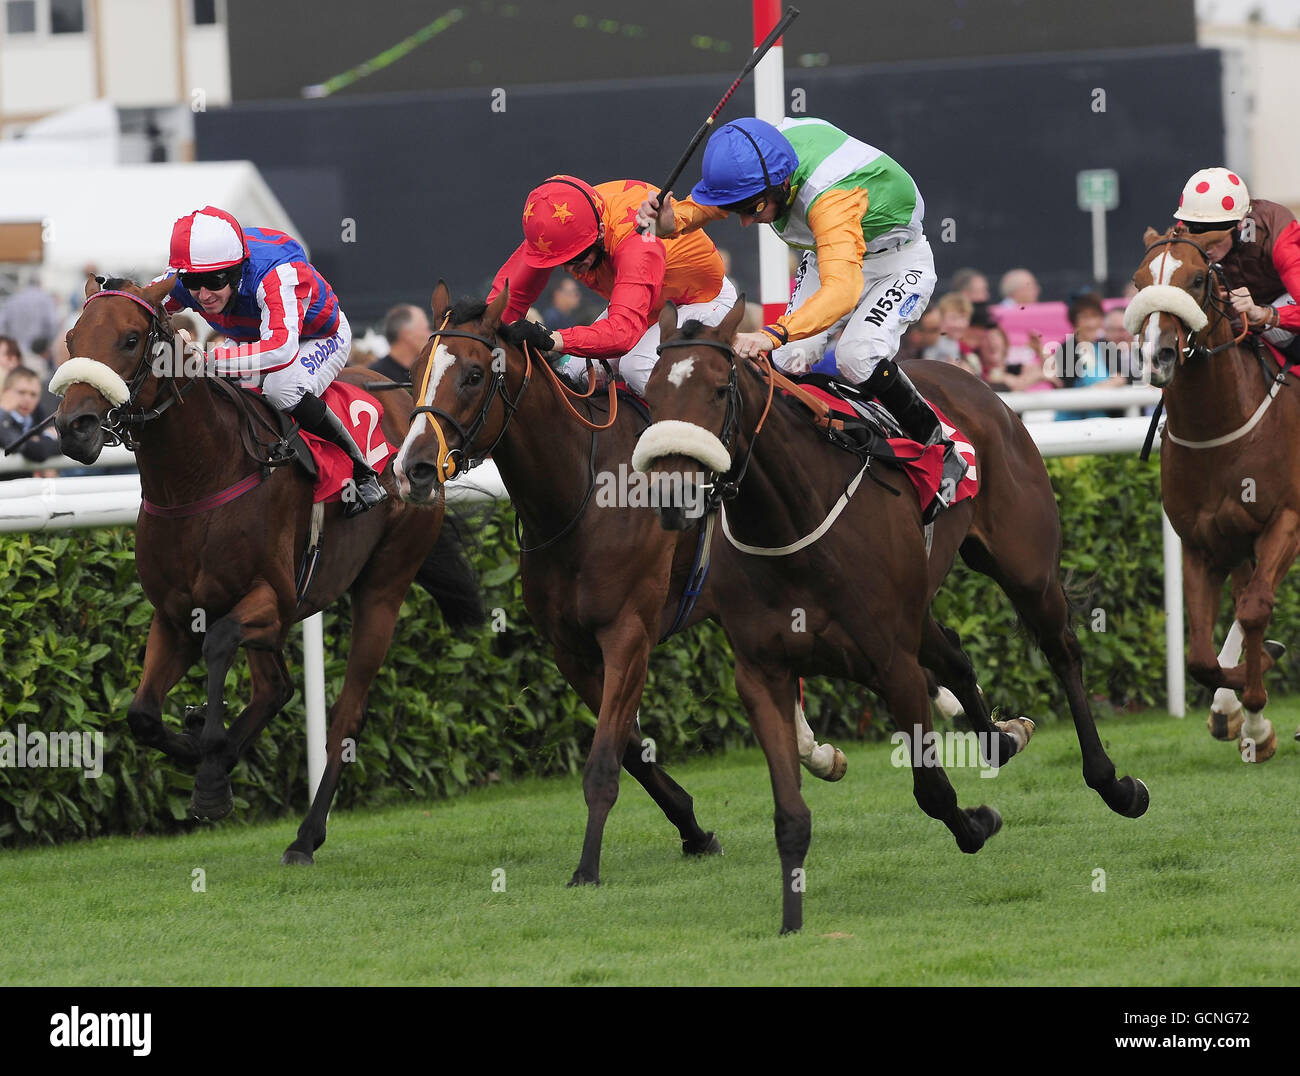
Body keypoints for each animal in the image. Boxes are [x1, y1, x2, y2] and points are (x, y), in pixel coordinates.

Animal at [53, 272, 486, 862]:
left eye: (129, 339)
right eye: (72, 338)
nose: (74, 427)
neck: (198, 477)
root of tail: (414, 413)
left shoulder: (272, 598)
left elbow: (219, 644)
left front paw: (211, 766)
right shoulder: (174, 614)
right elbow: (142, 715)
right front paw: (199, 747)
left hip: (384, 585)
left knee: (346, 712)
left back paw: (305, 835)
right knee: (275, 687)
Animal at [384, 281, 852, 888]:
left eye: (472, 374)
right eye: (414, 370)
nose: (412, 469)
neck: (581, 495)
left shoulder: (628, 633)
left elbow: (606, 757)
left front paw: (587, 867)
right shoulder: (571, 648)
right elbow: (631, 751)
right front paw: (694, 831)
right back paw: (814, 750)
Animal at [634, 296, 1154, 935]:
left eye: (715, 390)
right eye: (652, 394)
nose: (671, 495)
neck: (790, 520)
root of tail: (974, 383)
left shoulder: (892, 664)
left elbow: (930, 787)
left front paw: (978, 823)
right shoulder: (763, 674)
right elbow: (789, 812)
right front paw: (790, 921)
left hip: (1027, 569)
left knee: (1063, 654)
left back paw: (1115, 785)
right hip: (918, 607)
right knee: (955, 653)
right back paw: (1002, 739)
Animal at [1133, 227, 1294, 758]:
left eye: (1198, 278)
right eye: (1139, 281)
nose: (1157, 356)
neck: (1219, 428)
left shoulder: (1286, 520)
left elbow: (1256, 607)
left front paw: (1255, 712)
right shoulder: (1202, 541)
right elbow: (1202, 656)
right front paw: (1243, 709)